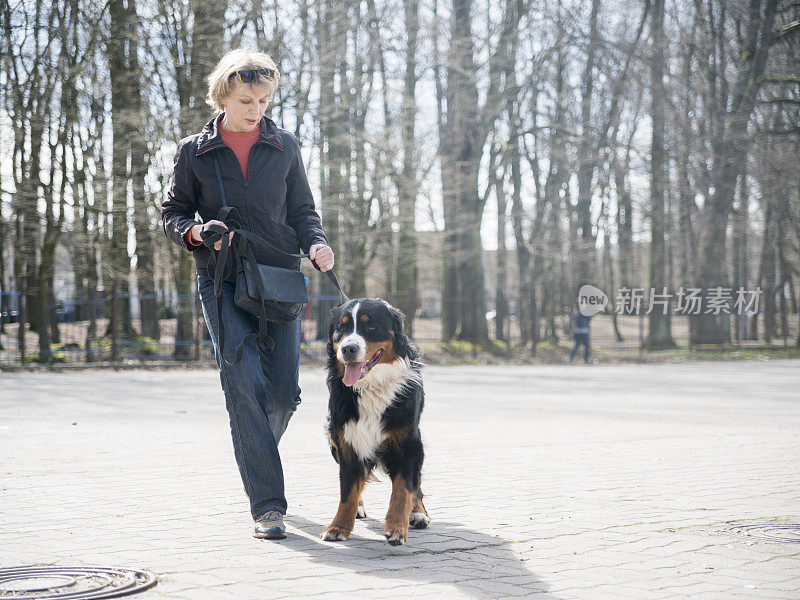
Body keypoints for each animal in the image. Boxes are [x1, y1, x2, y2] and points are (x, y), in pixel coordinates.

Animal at [322, 298, 432, 548]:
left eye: (370, 327)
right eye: (342, 329)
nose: (348, 349)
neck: (371, 386)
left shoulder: (406, 443)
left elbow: (403, 489)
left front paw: (397, 528)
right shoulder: (347, 441)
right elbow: (347, 491)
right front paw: (338, 527)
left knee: (417, 484)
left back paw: (419, 513)